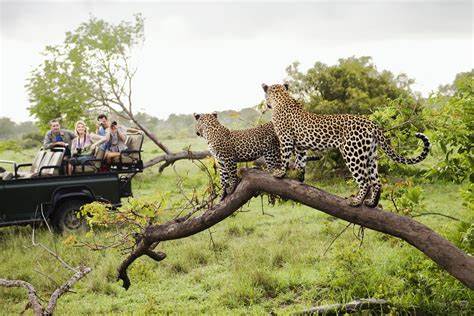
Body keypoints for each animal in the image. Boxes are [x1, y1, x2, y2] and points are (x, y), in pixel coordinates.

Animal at [262, 82, 432, 209]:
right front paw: (298, 177)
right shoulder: (300, 145)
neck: (282, 98)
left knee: (365, 181)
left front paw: (280, 173)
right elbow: (301, 161)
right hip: (370, 155)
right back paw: (371, 203)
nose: (266, 105)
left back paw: (356, 201)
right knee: (376, 181)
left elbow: (285, 157)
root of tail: (371, 123)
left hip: (352, 153)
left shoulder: (285, 138)